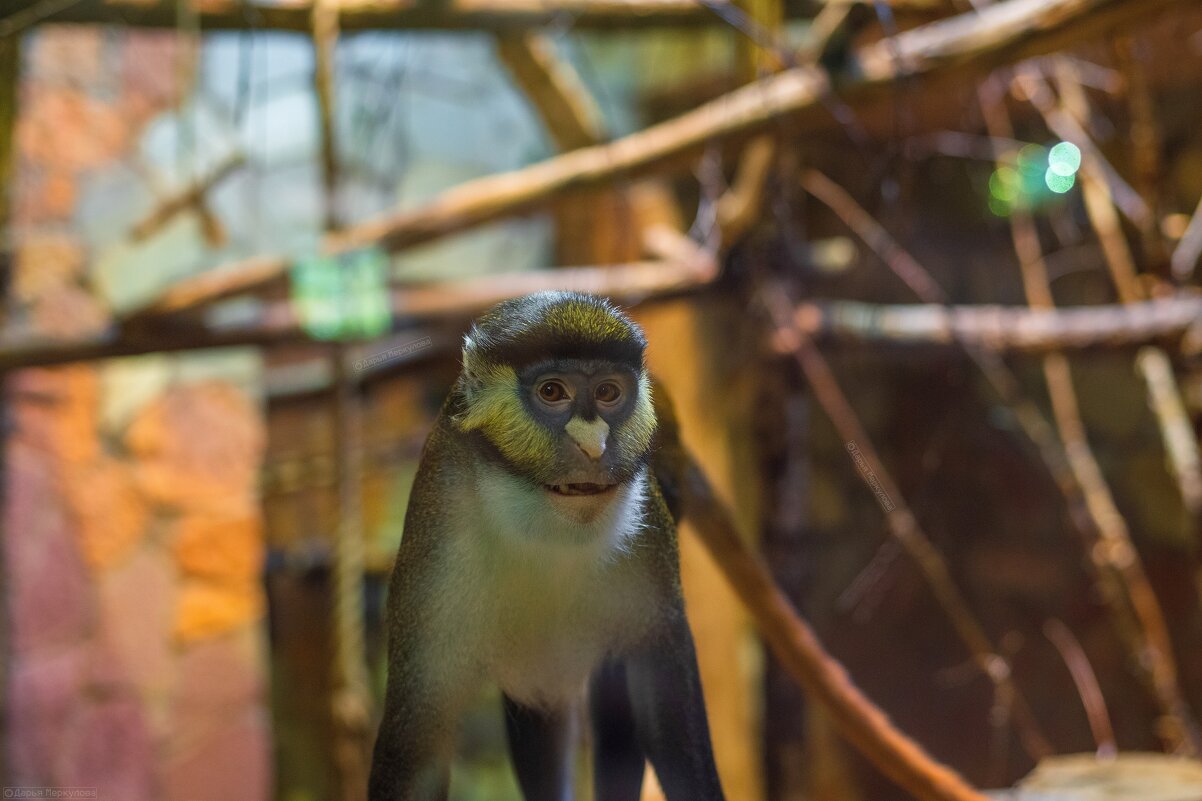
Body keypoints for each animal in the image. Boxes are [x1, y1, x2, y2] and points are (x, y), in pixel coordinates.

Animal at [365, 289, 721, 798]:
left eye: (609, 392)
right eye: (552, 392)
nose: (594, 447)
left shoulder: (651, 543)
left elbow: (670, 724)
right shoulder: (434, 559)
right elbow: (418, 753)